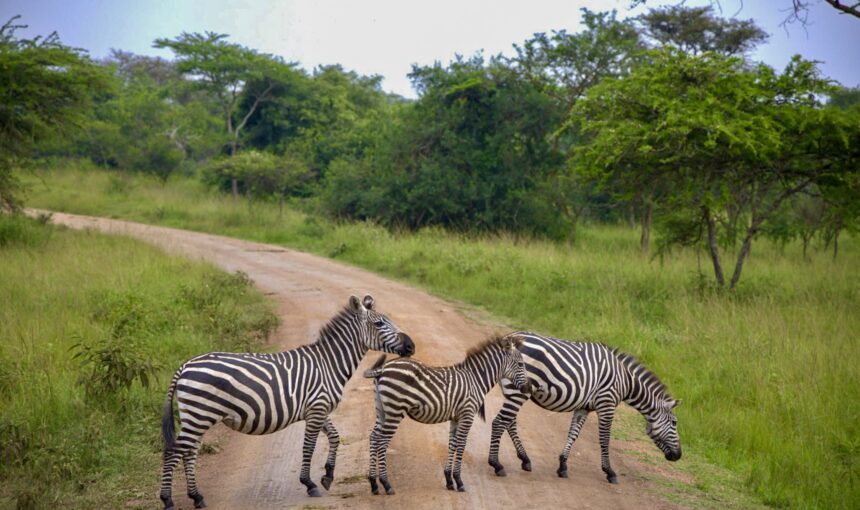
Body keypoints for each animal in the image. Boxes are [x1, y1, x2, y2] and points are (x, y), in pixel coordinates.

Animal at [162, 294, 420, 510]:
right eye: (379, 324)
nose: (412, 346)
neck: (329, 363)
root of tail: (185, 366)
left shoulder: (319, 408)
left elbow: (335, 437)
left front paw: (328, 475)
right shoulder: (316, 409)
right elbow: (309, 446)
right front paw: (309, 483)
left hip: (196, 416)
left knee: (189, 452)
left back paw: (197, 497)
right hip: (200, 414)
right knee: (173, 451)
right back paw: (167, 500)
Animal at [362, 332, 532, 496]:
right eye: (520, 364)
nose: (528, 388)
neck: (476, 380)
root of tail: (383, 369)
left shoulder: (455, 417)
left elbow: (453, 443)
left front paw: (449, 480)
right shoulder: (467, 414)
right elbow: (462, 444)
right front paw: (459, 481)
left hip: (381, 410)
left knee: (374, 438)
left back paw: (373, 483)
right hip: (395, 411)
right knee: (382, 442)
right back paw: (386, 484)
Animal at [488, 332, 680, 484]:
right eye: (674, 423)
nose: (678, 456)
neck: (626, 381)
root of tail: (510, 336)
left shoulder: (584, 408)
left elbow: (573, 434)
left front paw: (563, 465)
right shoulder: (607, 404)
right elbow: (604, 439)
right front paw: (609, 472)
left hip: (514, 391)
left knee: (510, 422)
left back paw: (525, 459)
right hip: (518, 391)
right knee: (499, 422)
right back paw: (496, 464)